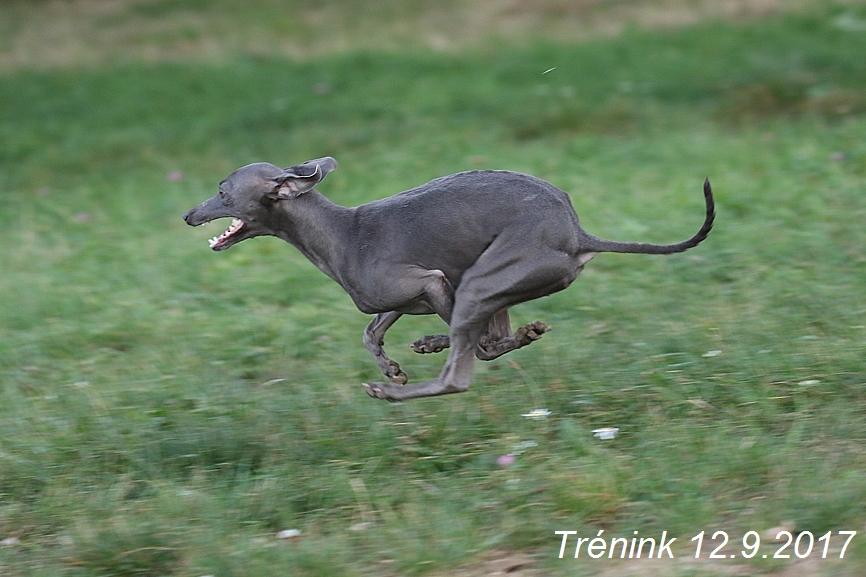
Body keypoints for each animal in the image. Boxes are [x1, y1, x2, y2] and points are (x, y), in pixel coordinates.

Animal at [181, 158, 708, 400]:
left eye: (222, 191)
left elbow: (470, 341)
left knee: (462, 371)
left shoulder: (431, 281)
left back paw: (397, 390)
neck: (339, 232)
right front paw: (393, 365)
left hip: (482, 281)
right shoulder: (404, 292)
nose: (187, 215)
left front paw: (395, 376)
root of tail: (577, 233)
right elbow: (370, 331)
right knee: (489, 336)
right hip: (491, 281)